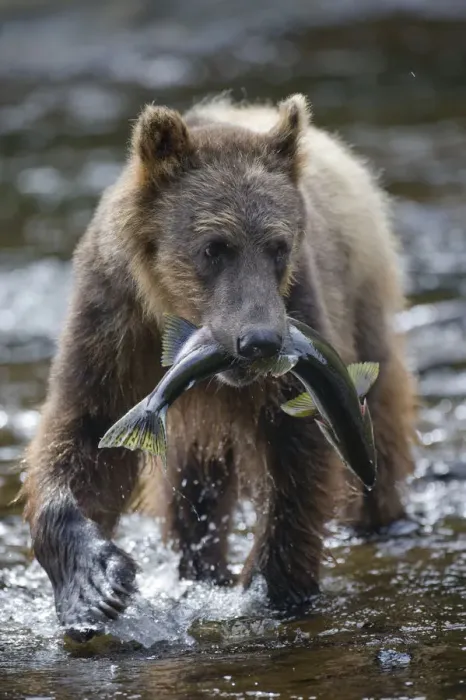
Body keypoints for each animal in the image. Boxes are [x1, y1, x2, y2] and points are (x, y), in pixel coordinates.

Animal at [20, 93, 416, 640]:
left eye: (278, 246)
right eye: (214, 247)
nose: (261, 341)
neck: (169, 308)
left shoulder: (300, 318)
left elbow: (297, 461)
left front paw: (271, 587)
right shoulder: (112, 324)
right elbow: (83, 432)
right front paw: (96, 586)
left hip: (362, 306)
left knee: (378, 417)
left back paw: (381, 519)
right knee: (191, 488)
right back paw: (199, 567)